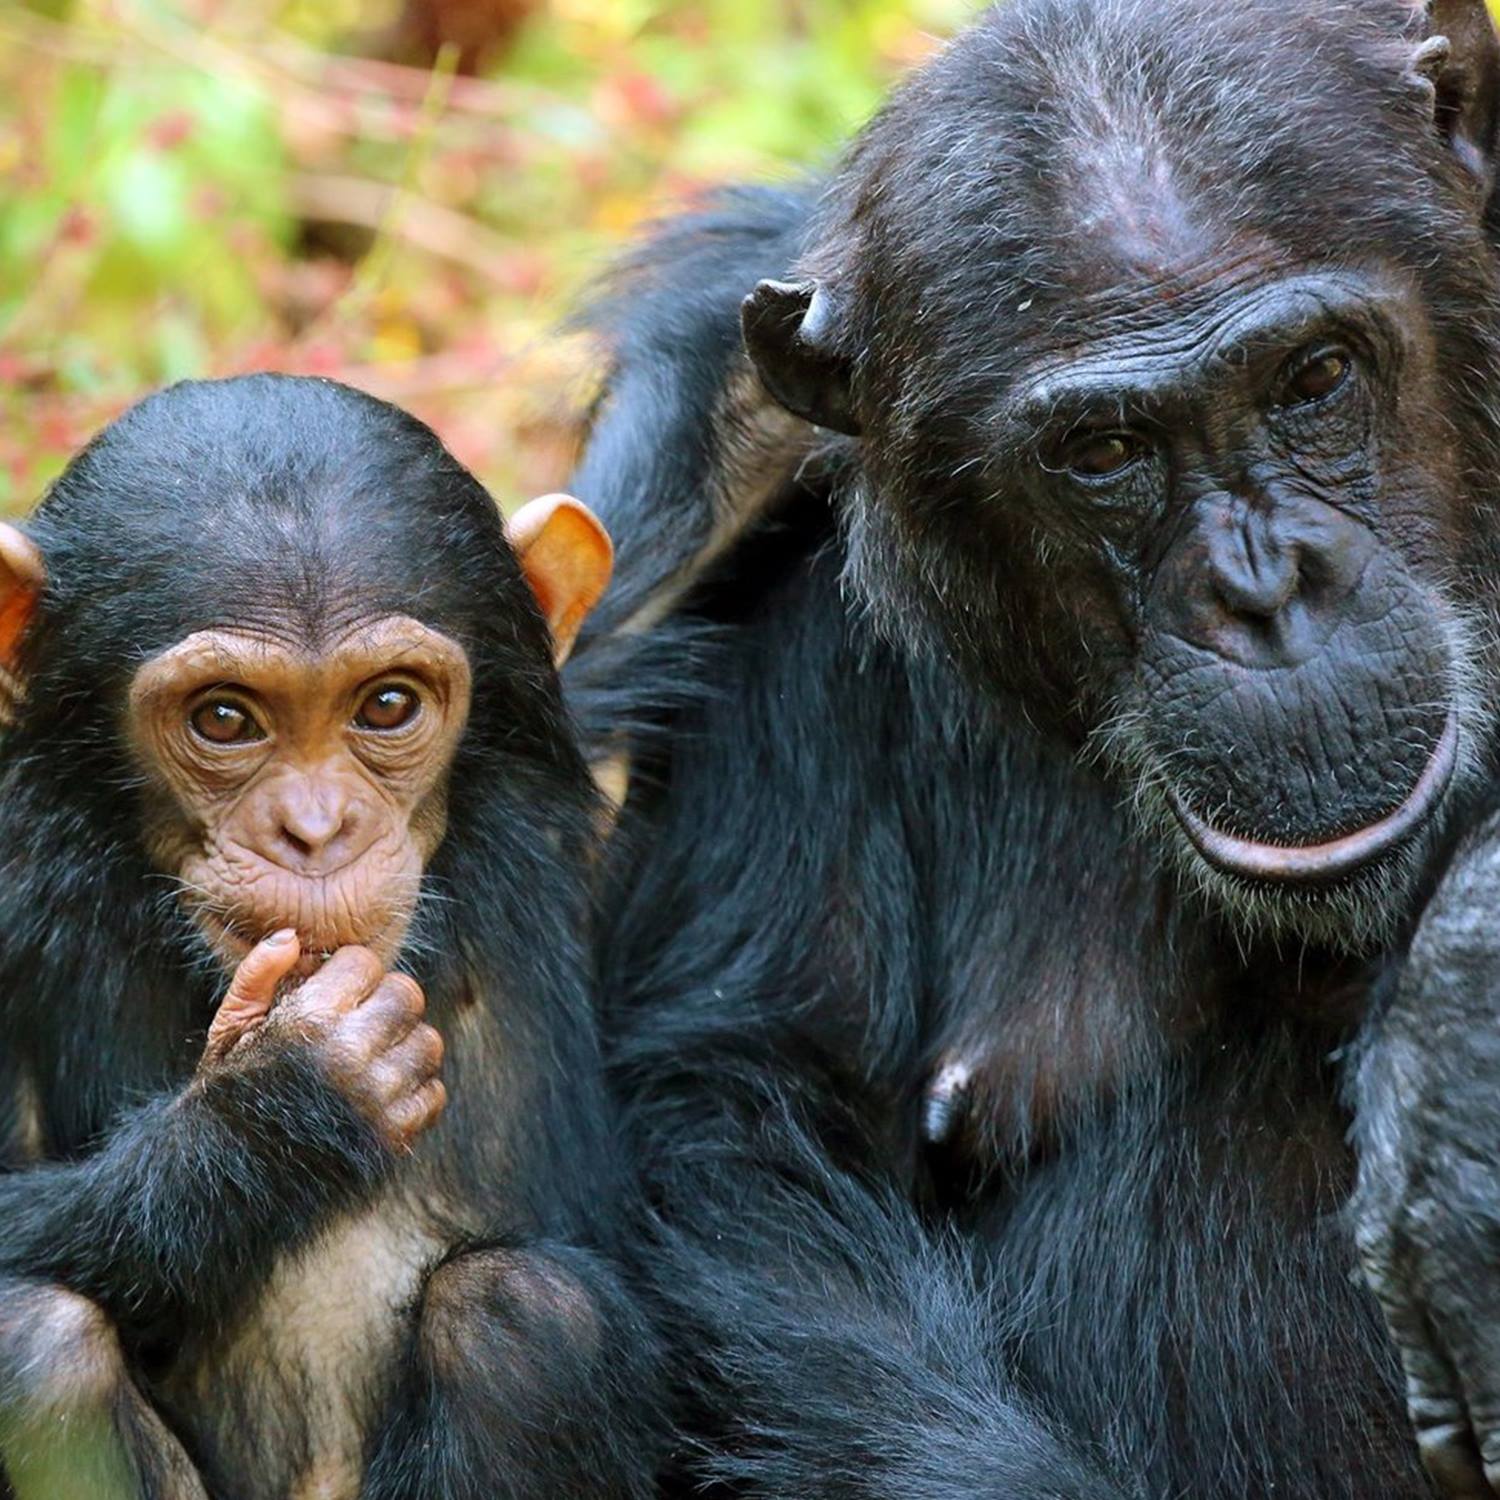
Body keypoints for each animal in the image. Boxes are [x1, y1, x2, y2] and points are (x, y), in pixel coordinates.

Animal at [0, 369, 663, 1494]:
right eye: (225, 719)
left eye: (386, 705)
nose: (314, 830)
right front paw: (283, 1106)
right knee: (35, 1343)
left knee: (524, 1322)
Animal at [564, 2, 1500, 1500]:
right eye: (1106, 451)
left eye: (1315, 379)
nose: (1263, 592)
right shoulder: (777, 628)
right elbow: (738, 1120)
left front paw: (1457, 1061)